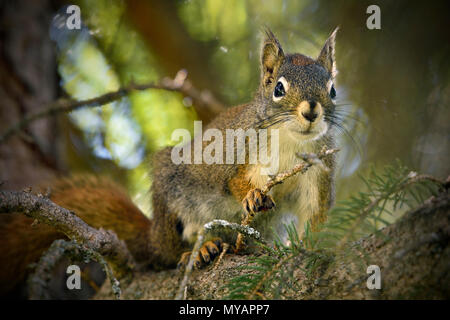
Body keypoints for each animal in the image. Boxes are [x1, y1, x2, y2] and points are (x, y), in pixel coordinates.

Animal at [0, 28, 338, 296]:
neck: (292, 141)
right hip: (172, 198)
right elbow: (235, 181)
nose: (311, 110)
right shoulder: (234, 154)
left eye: (333, 90)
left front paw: (318, 250)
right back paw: (199, 251)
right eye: (279, 88)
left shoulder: (318, 172)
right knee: (174, 249)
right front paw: (253, 194)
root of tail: (153, 237)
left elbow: (316, 213)